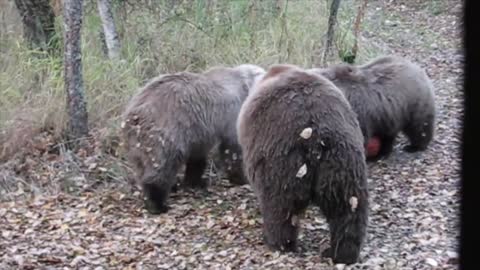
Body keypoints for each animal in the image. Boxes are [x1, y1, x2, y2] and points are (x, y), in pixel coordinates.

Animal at [122, 63, 266, 213]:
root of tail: (134, 115)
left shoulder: (198, 130)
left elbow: (197, 157)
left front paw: (195, 181)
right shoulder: (230, 115)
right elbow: (232, 150)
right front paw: (241, 177)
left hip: (136, 144)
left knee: (142, 166)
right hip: (164, 133)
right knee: (162, 167)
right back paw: (157, 203)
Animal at [238, 63, 370, 264]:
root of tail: (315, 133)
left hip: (281, 158)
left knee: (280, 207)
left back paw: (279, 243)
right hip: (343, 160)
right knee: (347, 207)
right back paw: (341, 252)